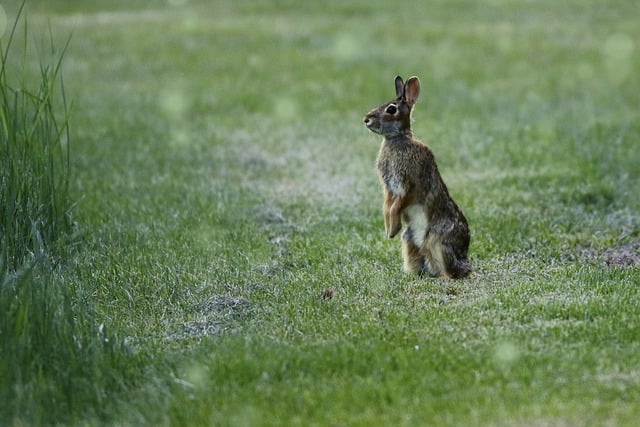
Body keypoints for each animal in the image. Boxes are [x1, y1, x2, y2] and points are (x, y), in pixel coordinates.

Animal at [364, 75, 470, 280]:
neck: (396, 139)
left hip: (440, 242)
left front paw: (392, 229)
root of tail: (465, 258)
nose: (366, 120)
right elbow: (387, 206)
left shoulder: (410, 184)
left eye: (391, 109)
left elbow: (398, 204)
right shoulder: (389, 188)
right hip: (409, 240)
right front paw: (390, 230)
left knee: (450, 270)